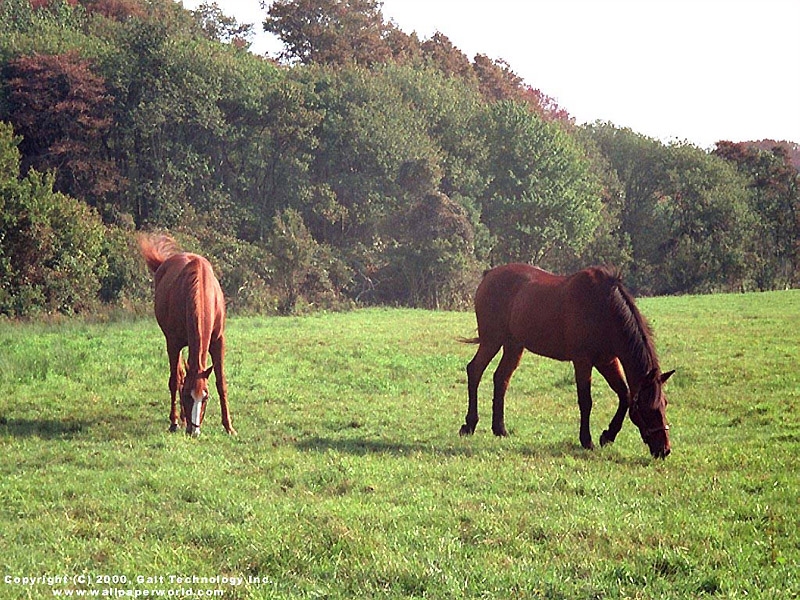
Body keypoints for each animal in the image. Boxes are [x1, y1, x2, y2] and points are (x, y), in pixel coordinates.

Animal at [139, 234, 236, 437]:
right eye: (186, 396)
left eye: (205, 397)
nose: (194, 431)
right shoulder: (173, 343)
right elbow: (175, 381)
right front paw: (174, 422)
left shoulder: (218, 341)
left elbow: (221, 382)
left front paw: (229, 426)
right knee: (179, 375)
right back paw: (180, 420)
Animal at [460, 264, 674, 458]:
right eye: (649, 409)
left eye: (665, 404)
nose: (664, 450)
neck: (604, 309)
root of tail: (489, 275)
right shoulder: (583, 361)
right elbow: (586, 401)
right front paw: (587, 440)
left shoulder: (607, 361)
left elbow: (625, 396)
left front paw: (608, 435)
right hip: (492, 341)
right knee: (475, 371)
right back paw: (469, 424)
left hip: (513, 346)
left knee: (501, 379)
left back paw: (499, 429)